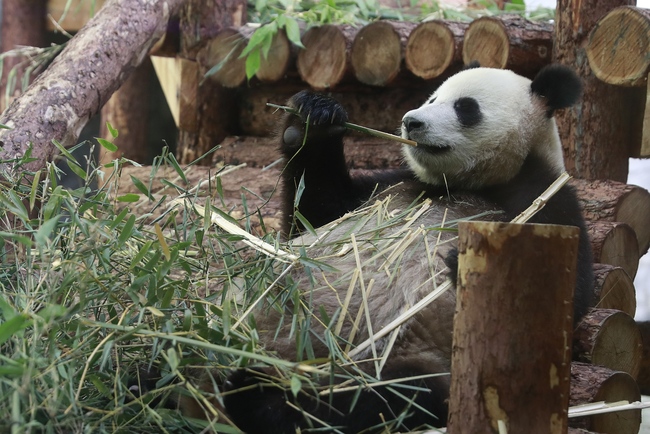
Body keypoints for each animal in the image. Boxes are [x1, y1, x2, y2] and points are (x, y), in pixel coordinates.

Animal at [218, 65, 592, 434]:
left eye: (465, 107)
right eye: (432, 99)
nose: (411, 121)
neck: (469, 183)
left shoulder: (548, 204)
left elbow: (550, 306)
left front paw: (464, 264)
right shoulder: (393, 186)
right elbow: (312, 216)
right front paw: (311, 121)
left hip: (416, 359)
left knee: (381, 398)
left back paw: (259, 399)